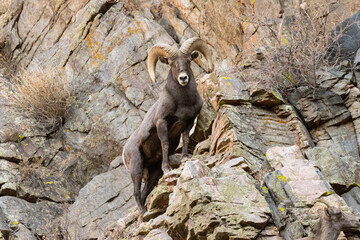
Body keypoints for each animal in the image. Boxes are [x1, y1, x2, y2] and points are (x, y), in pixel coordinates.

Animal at [122, 37, 214, 218]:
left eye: (188, 60)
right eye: (171, 64)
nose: (183, 78)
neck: (183, 101)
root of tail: (124, 152)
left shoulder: (189, 121)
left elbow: (185, 138)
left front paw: (185, 157)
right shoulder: (162, 123)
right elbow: (164, 143)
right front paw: (167, 168)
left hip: (152, 174)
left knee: (144, 193)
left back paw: (145, 213)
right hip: (136, 167)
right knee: (136, 192)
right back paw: (142, 212)